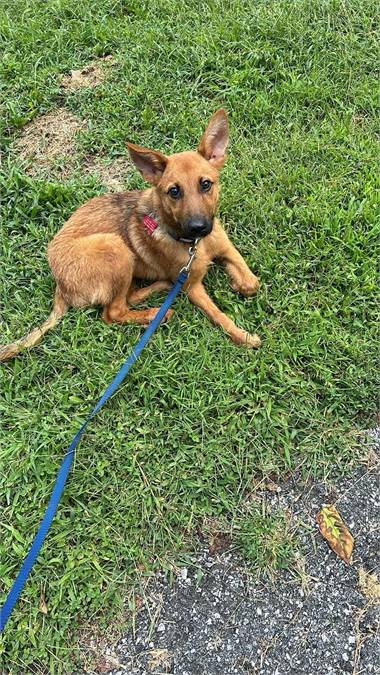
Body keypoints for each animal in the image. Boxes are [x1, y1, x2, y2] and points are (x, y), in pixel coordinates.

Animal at [0, 109, 262, 364]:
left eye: (206, 184)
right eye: (174, 191)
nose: (198, 227)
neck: (197, 245)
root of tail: (60, 285)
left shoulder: (225, 247)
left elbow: (252, 281)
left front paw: (238, 282)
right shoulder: (191, 286)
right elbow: (218, 314)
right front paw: (243, 336)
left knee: (128, 298)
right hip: (115, 247)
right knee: (113, 312)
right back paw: (156, 312)